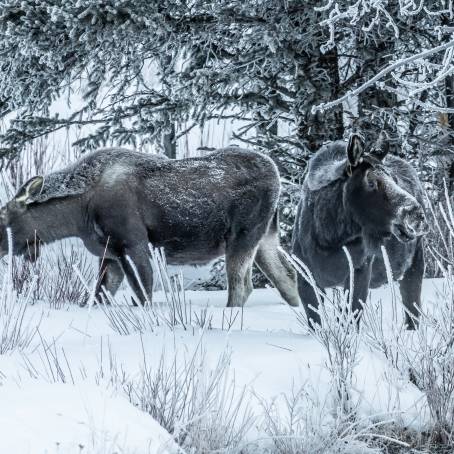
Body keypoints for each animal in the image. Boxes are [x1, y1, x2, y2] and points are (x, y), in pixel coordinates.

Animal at [0, 147, 302, 306]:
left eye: (3, 217)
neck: (79, 213)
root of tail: (278, 178)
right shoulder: (111, 253)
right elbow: (100, 296)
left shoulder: (134, 244)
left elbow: (143, 293)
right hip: (266, 238)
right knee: (287, 277)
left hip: (243, 235)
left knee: (241, 286)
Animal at [292, 133, 428, 328]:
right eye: (370, 182)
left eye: (394, 180)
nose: (417, 214)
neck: (330, 238)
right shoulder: (305, 278)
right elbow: (316, 322)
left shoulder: (359, 272)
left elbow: (349, 321)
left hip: (414, 266)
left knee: (413, 312)